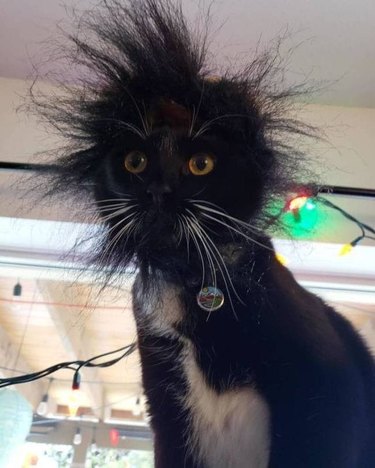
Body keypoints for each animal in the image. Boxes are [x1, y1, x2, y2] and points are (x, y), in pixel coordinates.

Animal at [33, 0, 375, 468]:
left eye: (201, 164)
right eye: (135, 161)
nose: (159, 190)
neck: (190, 278)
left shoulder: (325, 391)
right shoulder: (166, 404)